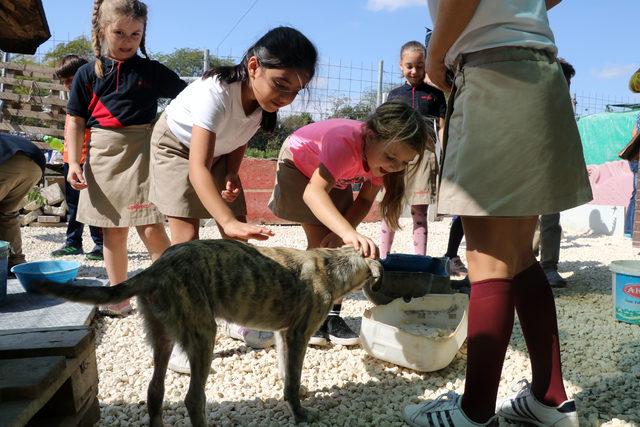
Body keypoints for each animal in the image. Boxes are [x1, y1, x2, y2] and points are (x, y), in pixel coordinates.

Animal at [32, 239, 382, 426]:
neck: (331, 263)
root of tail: (154, 269)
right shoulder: (297, 335)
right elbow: (292, 381)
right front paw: (300, 413)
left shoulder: (284, 335)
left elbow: (287, 375)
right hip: (203, 335)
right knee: (192, 398)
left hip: (162, 336)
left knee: (155, 391)